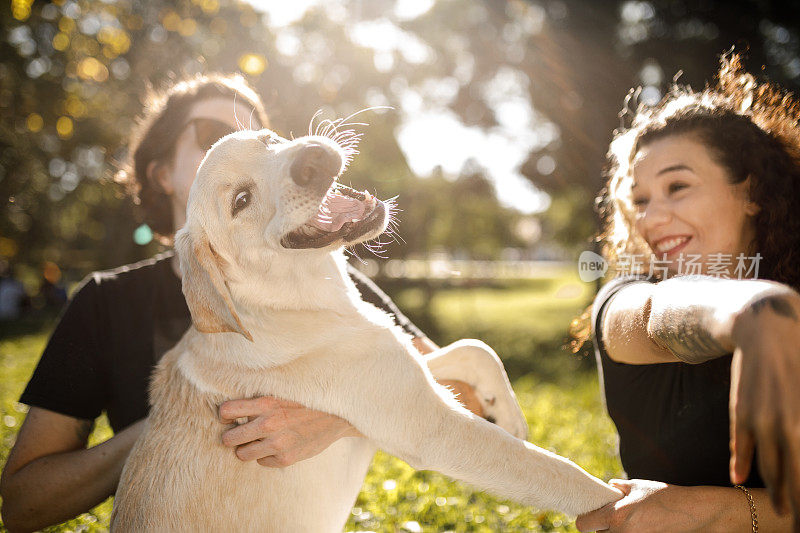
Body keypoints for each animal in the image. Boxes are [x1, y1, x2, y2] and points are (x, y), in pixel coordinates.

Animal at [109, 128, 620, 528]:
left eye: (269, 140)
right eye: (241, 200)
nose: (313, 160)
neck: (305, 302)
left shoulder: (401, 362)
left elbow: (474, 348)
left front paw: (508, 411)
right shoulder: (431, 426)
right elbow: (562, 474)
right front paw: (627, 505)